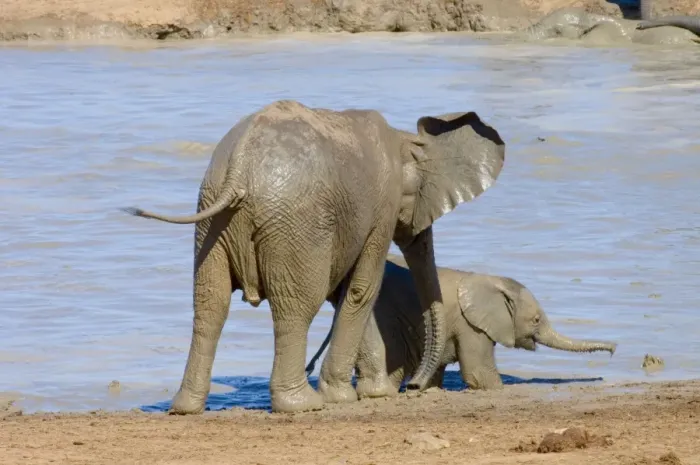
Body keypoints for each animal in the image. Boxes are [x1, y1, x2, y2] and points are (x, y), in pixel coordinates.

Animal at [122, 99, 505, 414]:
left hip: (213, 221)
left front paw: (373, 393)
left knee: (210, 305)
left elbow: (348, 292)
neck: (403, 141)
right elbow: (362, 290)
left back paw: (186, 408)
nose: (413, 388)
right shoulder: (381, 208)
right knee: (296, 307)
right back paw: (302, 404)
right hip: (296, 222)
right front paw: (358, 396)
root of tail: (240, 165)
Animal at [306, 254, 617, 393]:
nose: (614, 350)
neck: (491, 281)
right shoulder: (472, 327)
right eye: (536, 320)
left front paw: (427, 389)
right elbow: (480, 375)